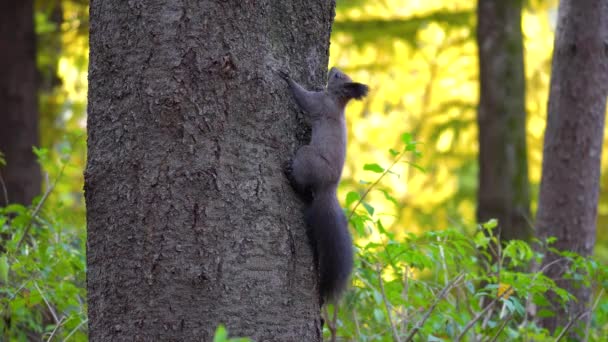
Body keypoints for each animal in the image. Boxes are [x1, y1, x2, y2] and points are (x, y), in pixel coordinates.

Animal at [278, 67, 368, 302]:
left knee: (301, 184)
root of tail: (328, 189)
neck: (336, 101)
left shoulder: (318, 103)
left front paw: (287, 79)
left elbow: (304, 99)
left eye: (337, 77)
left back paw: (291, 176)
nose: (333, 69)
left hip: (307, 156)